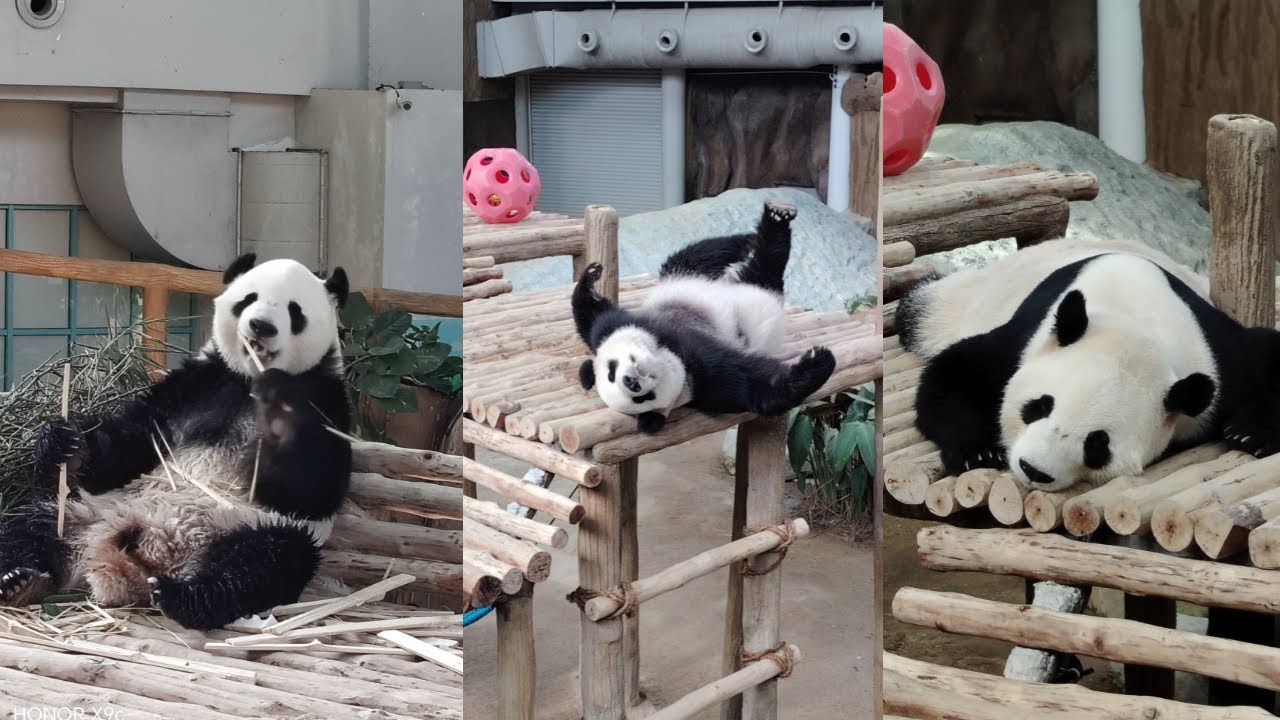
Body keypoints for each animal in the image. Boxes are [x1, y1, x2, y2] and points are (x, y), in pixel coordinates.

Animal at [0, 253, 352, 630]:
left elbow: (311, 489)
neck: (248, 379)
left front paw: (277, 418)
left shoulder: (325, 399)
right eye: (249, 298)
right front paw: (65, 444)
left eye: (294, 311)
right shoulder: (193, 386)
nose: (261, 326)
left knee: (266, 563)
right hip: (87, 513)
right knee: (31, 527)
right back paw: (19, 581)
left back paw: (184, 597)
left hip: (243, 526)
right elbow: (129, 447)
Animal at [572, 200, 836, 434]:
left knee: (699, 255)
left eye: (611, 370)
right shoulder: (705, 381)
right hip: (756, 287)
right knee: (765, 268)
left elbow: (594, 320)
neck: (671, 350)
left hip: (684, 276)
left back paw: (761, 226)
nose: (630, 381)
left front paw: (590, 278)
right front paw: (819, 361)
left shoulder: (633, 325)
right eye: (642, 399)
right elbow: (755, 389)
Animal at [898, 237, 1280, 491]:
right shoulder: (1025, 340)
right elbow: (956, 371)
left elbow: (1266, 354)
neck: (1130, 321)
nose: (1033, 469)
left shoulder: (1215, 358)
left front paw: (1249, 433)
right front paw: (976, 453)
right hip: (958, 303)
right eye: (1039, 406)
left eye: (1097, 444)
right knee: (920, 308)